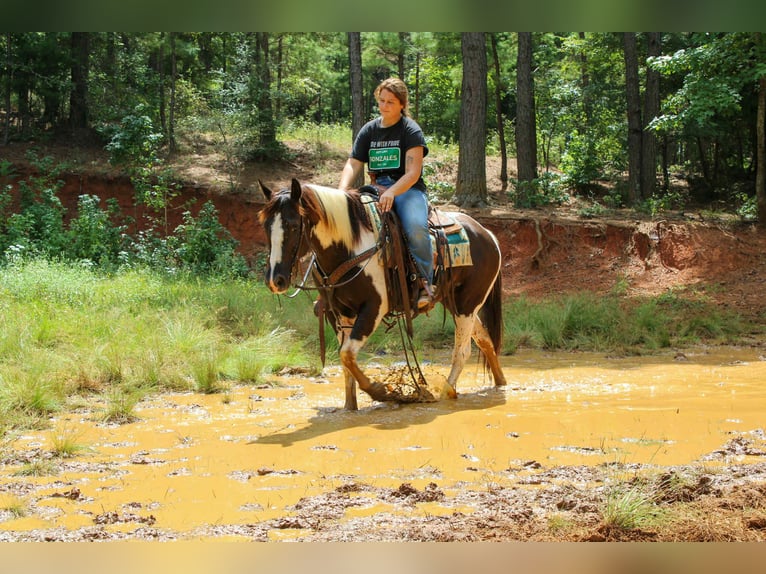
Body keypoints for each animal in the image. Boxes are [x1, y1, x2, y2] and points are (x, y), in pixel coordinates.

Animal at [259, 178, 507, 411]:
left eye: (292, 225)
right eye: (266, 226)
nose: (275, 280)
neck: (349, 247)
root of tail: (488, 234)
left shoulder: (373, 308)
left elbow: (347, 354)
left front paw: (380, 391)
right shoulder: (338, 313)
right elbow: (345, 361)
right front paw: (350, 407)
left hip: (468, 303)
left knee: (463, 350)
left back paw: (446, 393)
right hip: (456, 304)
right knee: (484, 339)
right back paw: (500, 382)